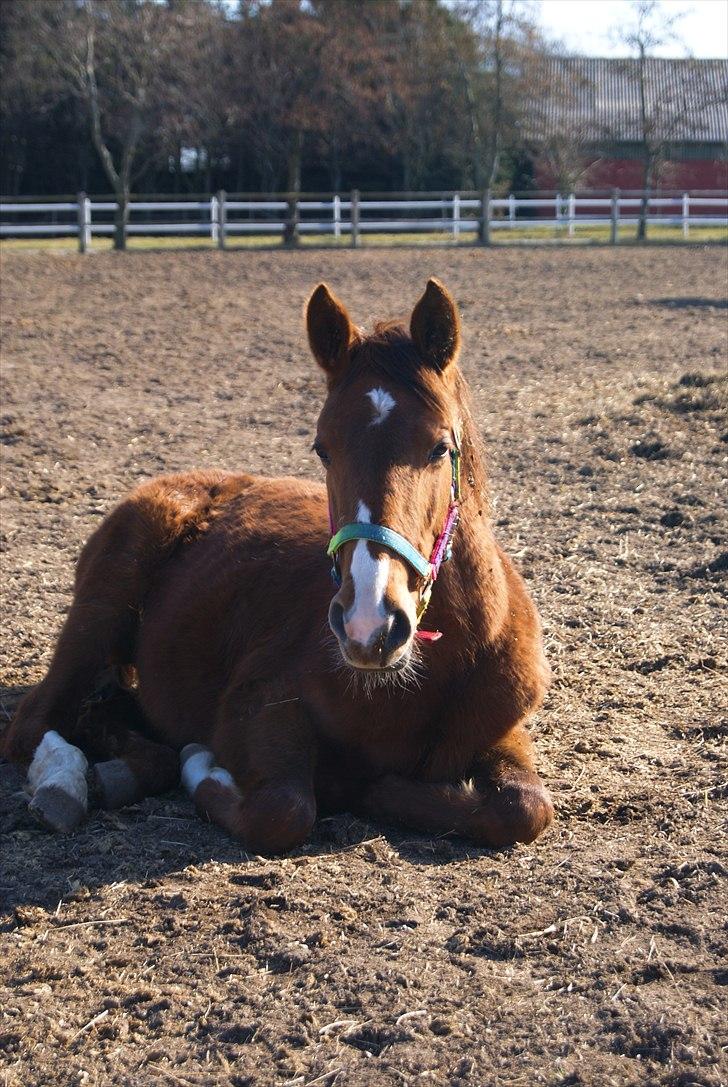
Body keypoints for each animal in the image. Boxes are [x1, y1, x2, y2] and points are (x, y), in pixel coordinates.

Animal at [2, 276, 556, 852]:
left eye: (439, 447)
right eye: (323, 448)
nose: (369, 625)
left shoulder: (501, 730)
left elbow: (523, 807)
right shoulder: (255, 705)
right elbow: (283, 810)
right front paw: (208, 768)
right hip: (100, 612)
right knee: (33, 725)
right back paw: (65, 786)